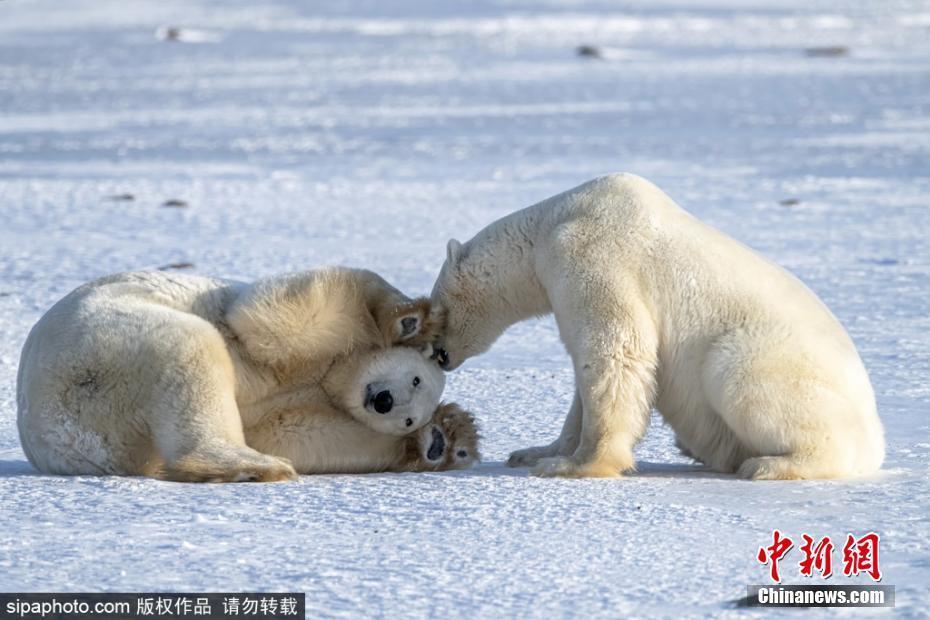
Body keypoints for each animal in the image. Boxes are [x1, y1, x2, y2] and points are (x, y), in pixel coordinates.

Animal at [18, 268, 478, 482]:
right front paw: (411, 320)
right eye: (415, 379)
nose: (383, 400)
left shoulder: (297, 406)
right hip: (102, 342)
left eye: (410, 416)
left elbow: (301, 433)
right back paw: (260, 467)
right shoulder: (298, 345)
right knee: (189, 349)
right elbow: (272, 317)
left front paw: (447, 437)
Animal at [432, 173, 880, 480]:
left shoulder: (592, 255)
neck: (551, 223)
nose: (438, 356)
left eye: (434, 311)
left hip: (768, 358)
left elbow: (615, 350)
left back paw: (765, 465)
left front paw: (575, 465)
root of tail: (877, 443)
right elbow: (584, 376)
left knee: (738, 375)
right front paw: (535, 452)